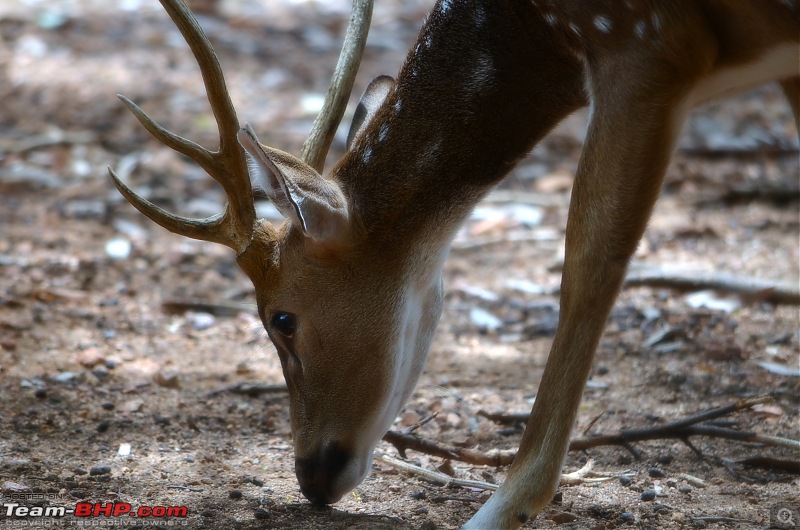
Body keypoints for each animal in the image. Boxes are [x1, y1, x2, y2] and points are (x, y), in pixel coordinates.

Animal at [108, 0, 800, 524]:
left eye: (281, 318)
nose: (311, 476)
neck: (537, 27)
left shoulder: (646, 44)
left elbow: (588, 260)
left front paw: (499, 510)